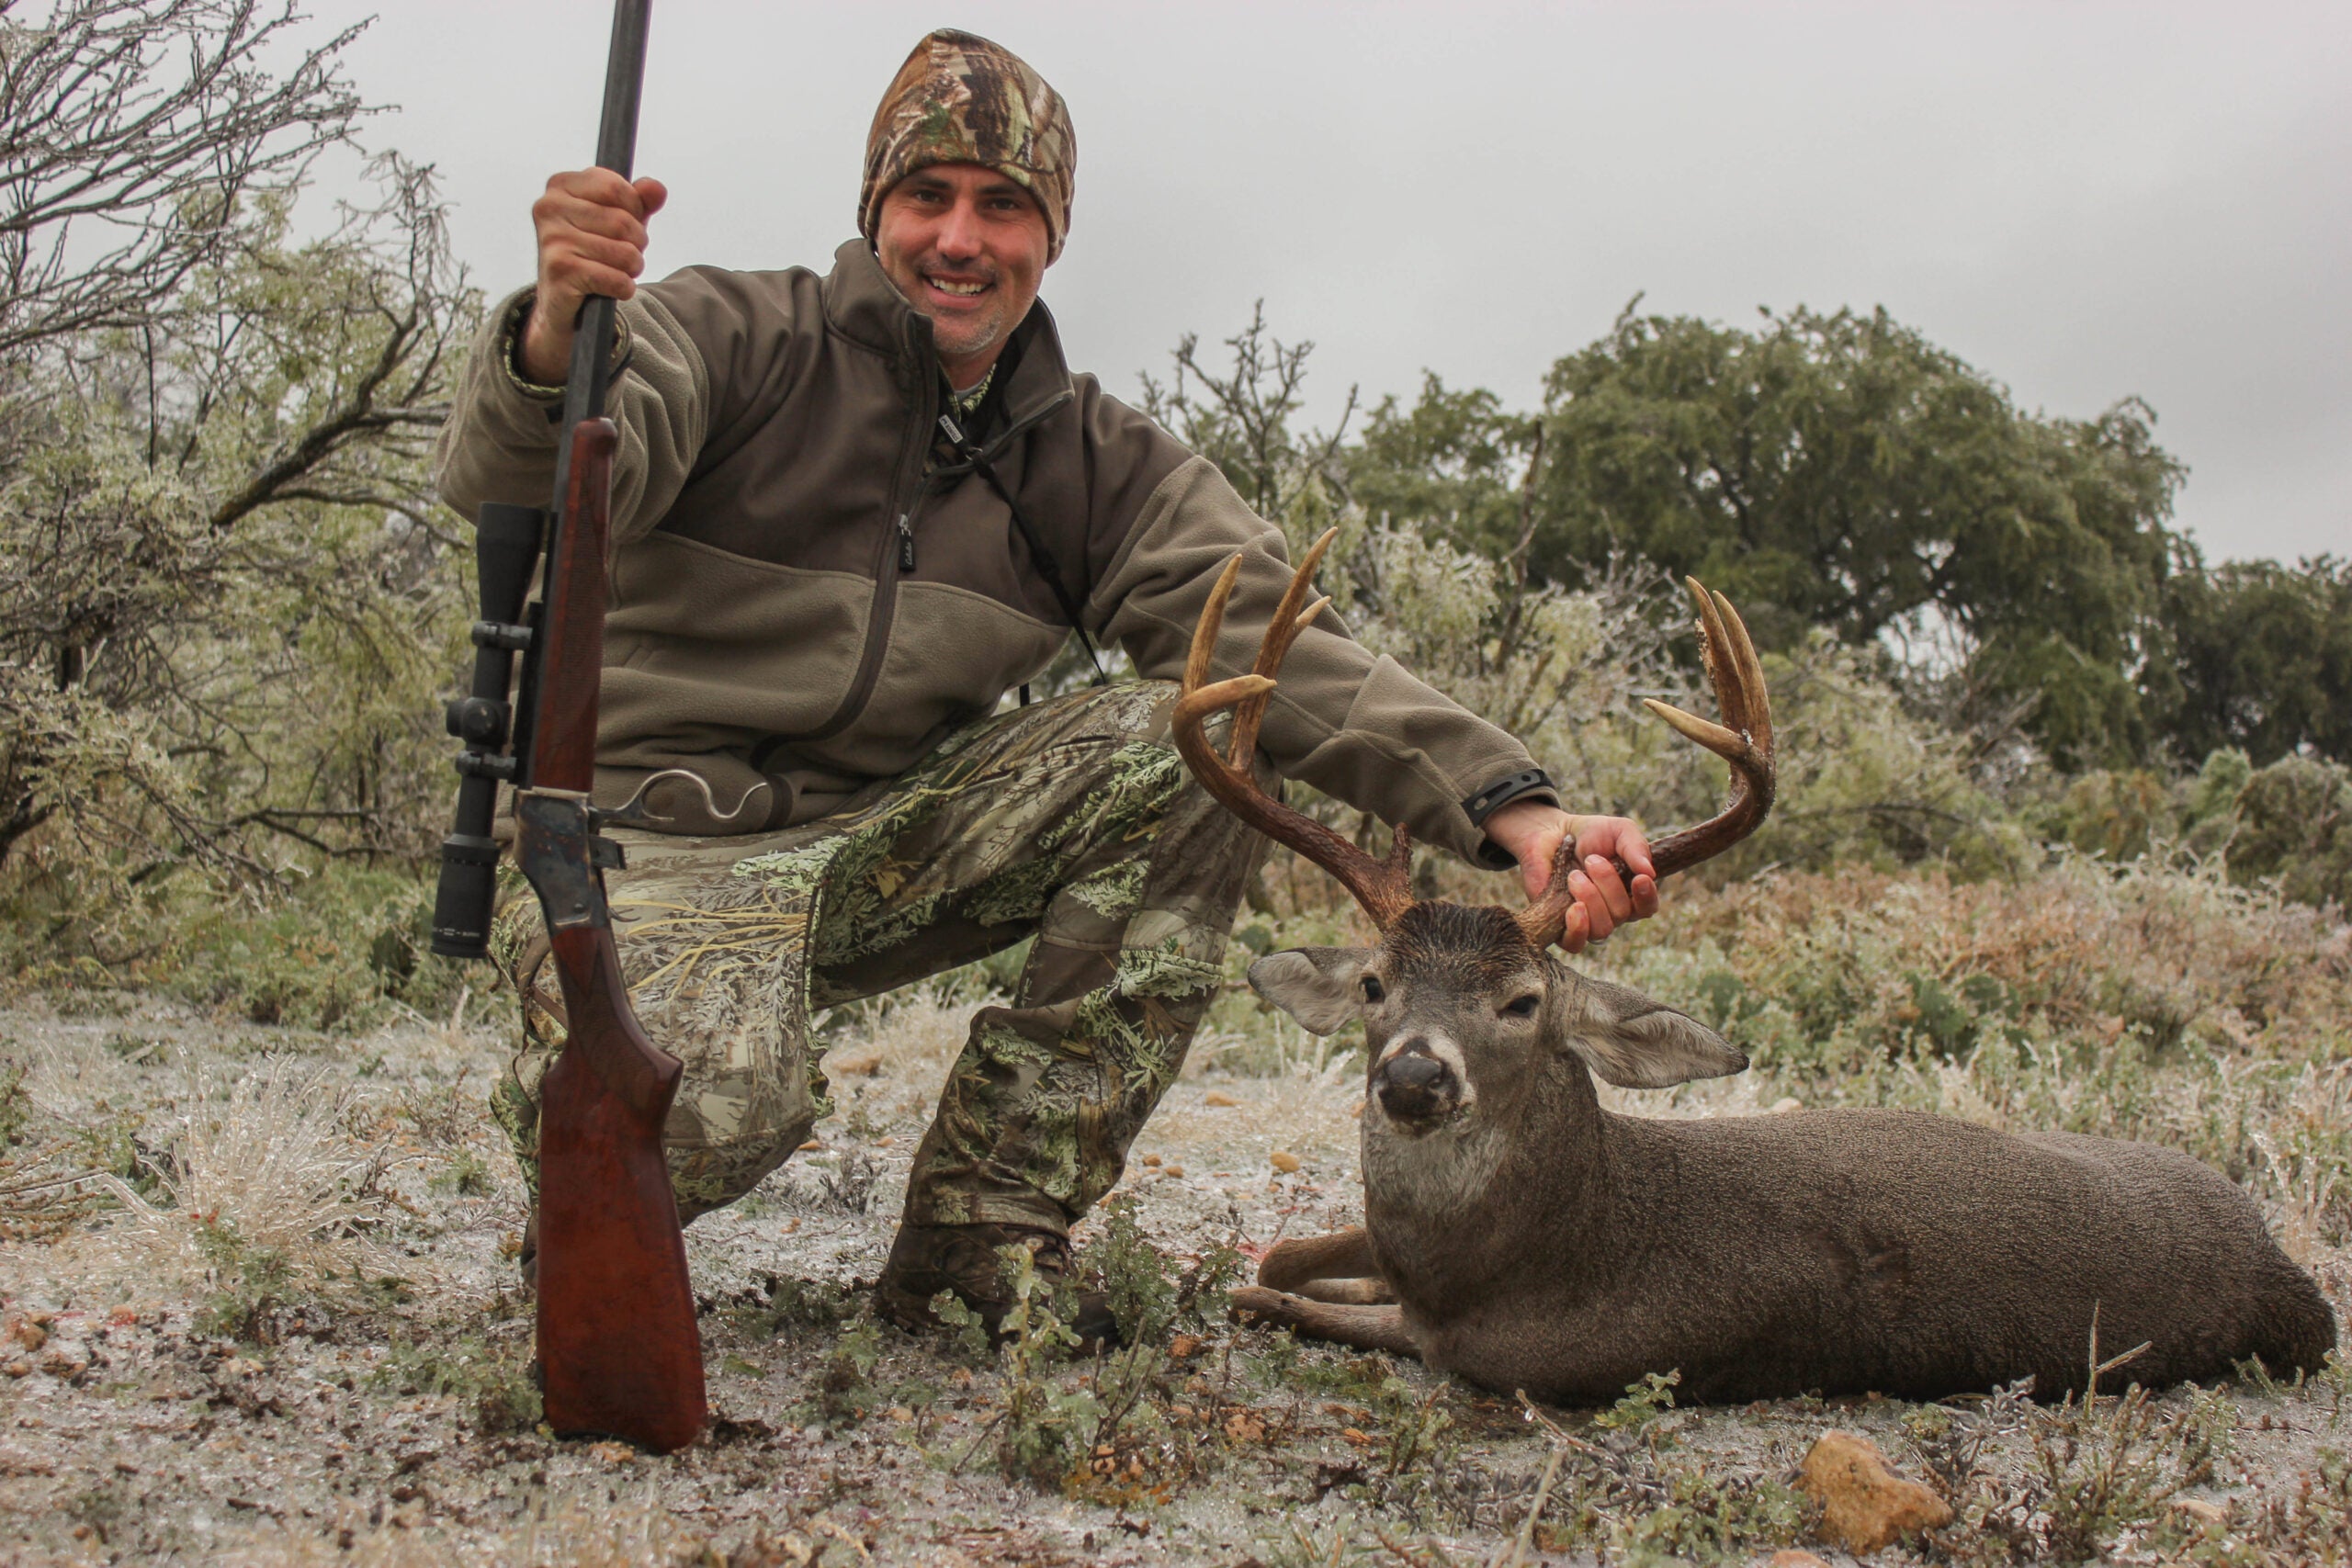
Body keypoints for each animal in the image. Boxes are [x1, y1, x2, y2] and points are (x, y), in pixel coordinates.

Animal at [1176, 533, 2333, 1401]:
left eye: (1523, 1002)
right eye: (1375, 985)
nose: (1415, 1075)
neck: (1559, 1242)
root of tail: (2288, 1277)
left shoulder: (1503, 1354)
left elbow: (1264, 1292)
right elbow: (1278, 1259)